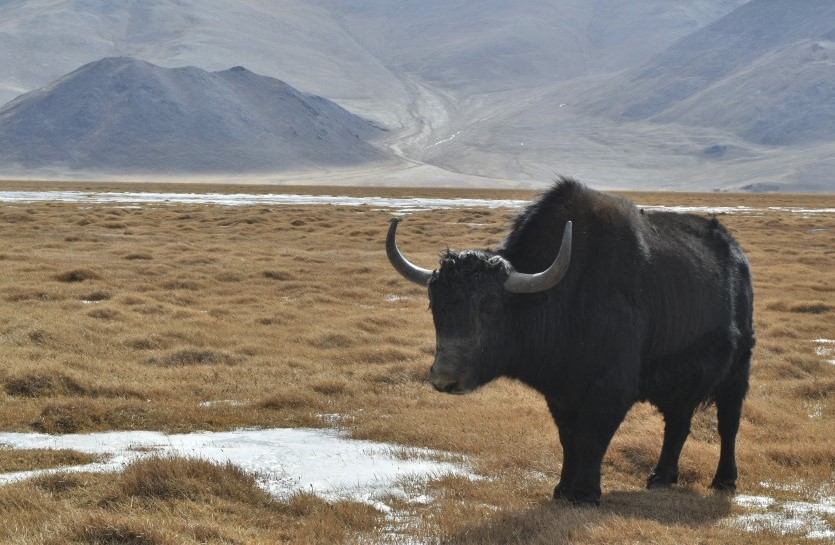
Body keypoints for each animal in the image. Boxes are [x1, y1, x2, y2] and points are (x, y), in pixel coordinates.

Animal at [386, 177, 754, 505]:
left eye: (490, 306)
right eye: (436, 304)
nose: (445, 379)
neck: (559, 298)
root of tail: (737, 254)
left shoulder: (611, 387)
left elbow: (592, 438)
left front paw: (586, 494)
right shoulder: (560, 392)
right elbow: (569, 439)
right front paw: (562, 489)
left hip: (738, 368)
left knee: (728, 423)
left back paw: (724, 481)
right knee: (678, 421)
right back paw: (661, 477)